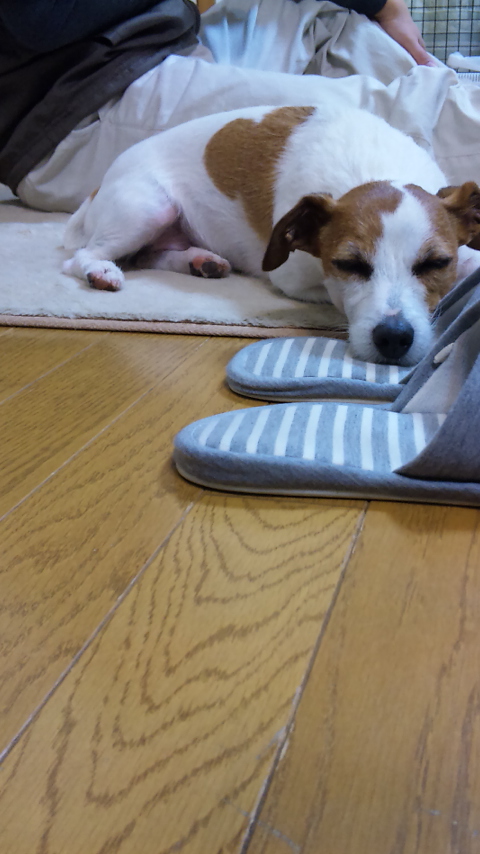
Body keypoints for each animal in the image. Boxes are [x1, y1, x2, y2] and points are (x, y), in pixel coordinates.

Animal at [63, 105, 480, 365]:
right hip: (148, 207)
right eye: (347, 264)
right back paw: (101, 271)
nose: (393, 337)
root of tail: (100, 185)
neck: (376, 170)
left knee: (149, 256)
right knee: (83, 258)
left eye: (436, 263)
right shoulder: (294, 280)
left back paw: (201, 261)